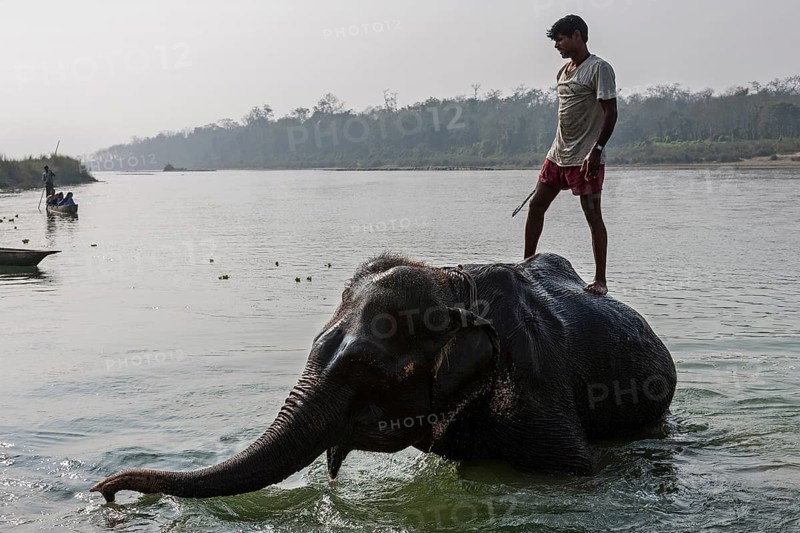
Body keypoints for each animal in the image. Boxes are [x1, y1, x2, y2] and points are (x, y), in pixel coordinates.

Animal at [91, 252, 676, 502]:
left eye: (366, 369)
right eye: (317, 346)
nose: (106, 491)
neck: (453, 283)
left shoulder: (534, 384)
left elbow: (573, 469)